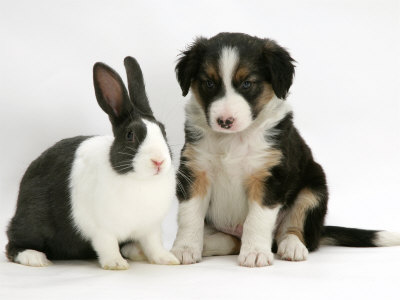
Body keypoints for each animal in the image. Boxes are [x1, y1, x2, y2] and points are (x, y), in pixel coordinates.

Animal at [4, 56, 179, 270]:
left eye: (163, 131)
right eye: (130, 135)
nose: (159, 161)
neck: (139, 180)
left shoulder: (150, 228)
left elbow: (154, 245)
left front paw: (167, 259)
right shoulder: (101, 229)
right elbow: (108, 245)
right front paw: (116, 264)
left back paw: (135, 251)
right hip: (32, 220)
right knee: (13, 242)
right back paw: (35, 258)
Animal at [171, 32, 400, 268]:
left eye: (247, 84)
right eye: (209, 83)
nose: (225, 121)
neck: (233, 139)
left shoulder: (270, 176)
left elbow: (257, 219)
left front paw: (255, 253)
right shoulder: (195, 171)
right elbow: (189, 216)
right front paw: (184, 249)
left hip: (314, 189)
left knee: (293, 231)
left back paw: (292, 247)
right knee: (231, 241)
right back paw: (206, 244)